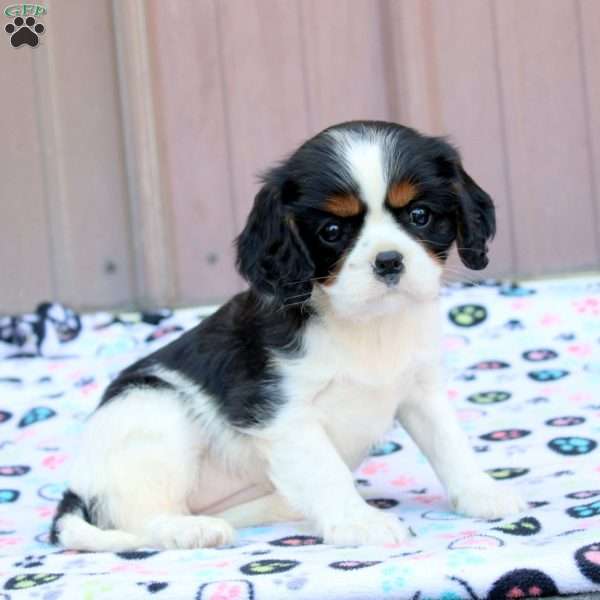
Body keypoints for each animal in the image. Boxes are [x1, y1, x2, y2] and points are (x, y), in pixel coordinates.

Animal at [50, 119, 524, 552]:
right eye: (331, 232)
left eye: (419, 216)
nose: (389, 260)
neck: (366, 322)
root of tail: (77, 489)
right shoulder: (282, 413)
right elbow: (326, 471)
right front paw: (359, 522)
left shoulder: (421, 391)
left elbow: (450, 443)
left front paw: (481, 493)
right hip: (153, 412)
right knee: (142, 518)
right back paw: (189, 531)